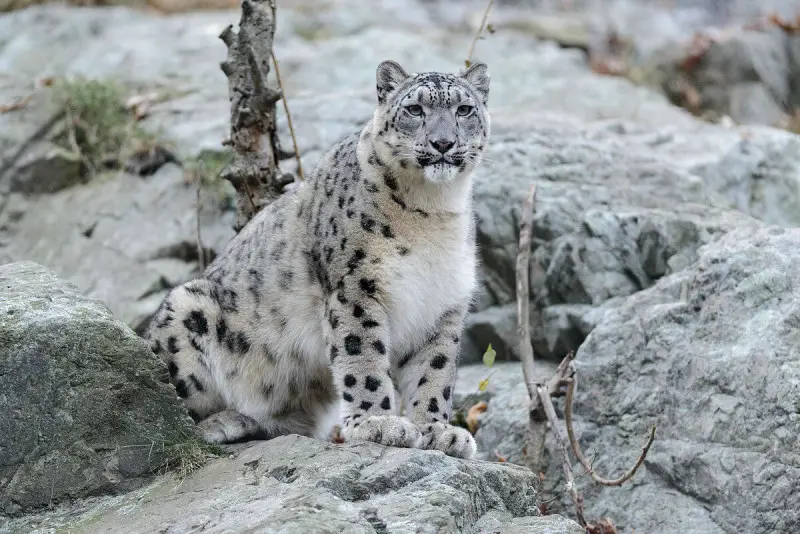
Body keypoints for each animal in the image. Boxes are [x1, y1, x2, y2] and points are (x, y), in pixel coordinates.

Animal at [144, 59, 491, 459]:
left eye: (463, 109)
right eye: (415, 109)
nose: (443, 143)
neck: (432, 209)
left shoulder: (442, 304)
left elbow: (434, 371)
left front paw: (438, 431)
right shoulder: (355, 287)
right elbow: (363, 356)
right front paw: (378, 423)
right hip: (187, 311)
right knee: (168, 415)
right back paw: (223, 421)